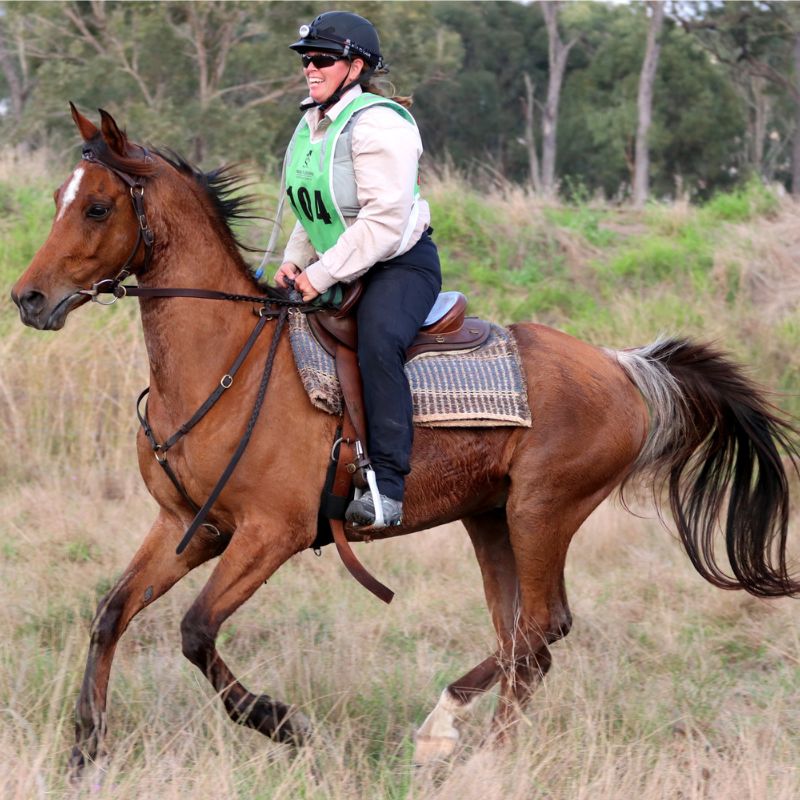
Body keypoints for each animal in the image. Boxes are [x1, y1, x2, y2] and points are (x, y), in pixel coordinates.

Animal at [10, 108, 800, 776]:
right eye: (57, 197)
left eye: (98, 206)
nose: (28, 298)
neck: (228, 361)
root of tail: (624, 365)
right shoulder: (191, 526)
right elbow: (111, 613)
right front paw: (85, 749)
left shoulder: (270, 534)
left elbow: (197, 631)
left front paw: (281, 722)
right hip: (491, 520)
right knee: (521, 641)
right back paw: (476, 754)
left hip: (542, 512)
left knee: (542, 630)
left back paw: (449, 736)